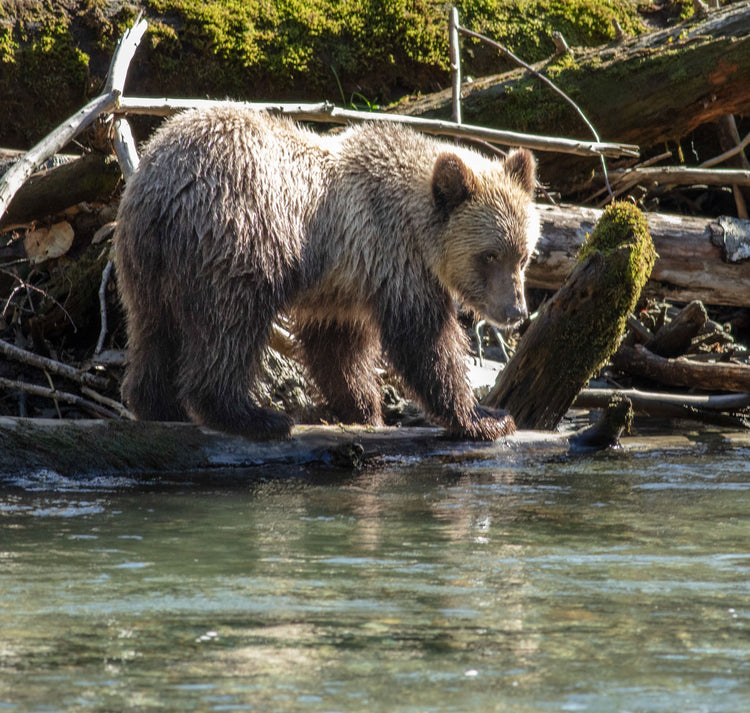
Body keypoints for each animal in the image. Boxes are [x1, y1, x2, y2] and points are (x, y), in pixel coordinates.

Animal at [113, 104, 539, 441]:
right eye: (489, 255)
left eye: (523, 256)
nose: (516, 311)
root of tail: (163, 184)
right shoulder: (393, 255)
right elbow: (426, 342)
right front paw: (485, 417)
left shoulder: (342, 284)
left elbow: (337, 350)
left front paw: (364, 409)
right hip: (238, 234)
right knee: (229, 325)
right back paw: (253, 416)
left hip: (145, 261)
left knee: (154, 328)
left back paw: (160, 406)